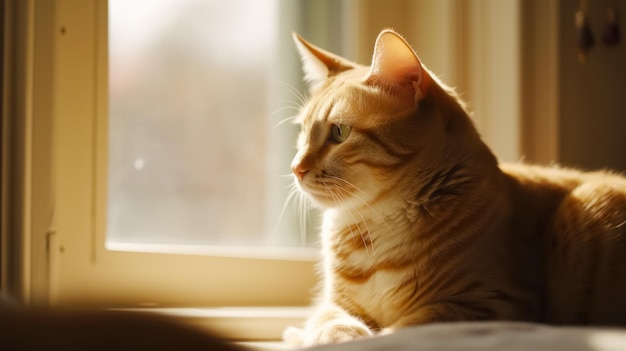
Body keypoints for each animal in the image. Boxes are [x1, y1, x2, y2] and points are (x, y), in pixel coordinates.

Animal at [286, 28, 624, 348]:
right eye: (303, 133)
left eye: (340, 133)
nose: (295, 167)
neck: (372, 230)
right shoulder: (332, 302)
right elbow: (328, 319)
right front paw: (332, 336)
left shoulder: (491, 304)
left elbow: (404, 329)